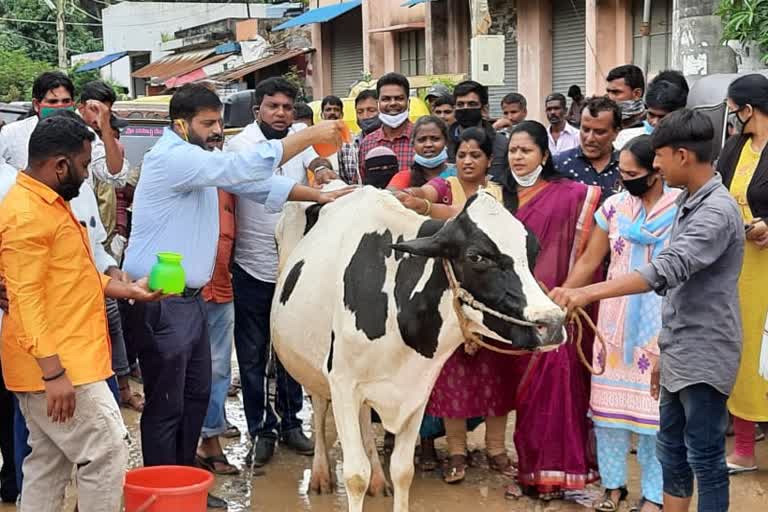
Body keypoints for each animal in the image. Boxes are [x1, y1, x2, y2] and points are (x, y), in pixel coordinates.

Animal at [270, 185, 564, 512]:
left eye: (533, 251)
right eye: (476, 256)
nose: (552, 322)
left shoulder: (418, 387)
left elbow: (402, 470)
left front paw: (387, 478)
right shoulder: (342, 381)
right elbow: (355, 475)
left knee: (364, 419)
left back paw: (378, 479)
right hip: (312, 364)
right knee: (320, 408)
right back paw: (321, 474)